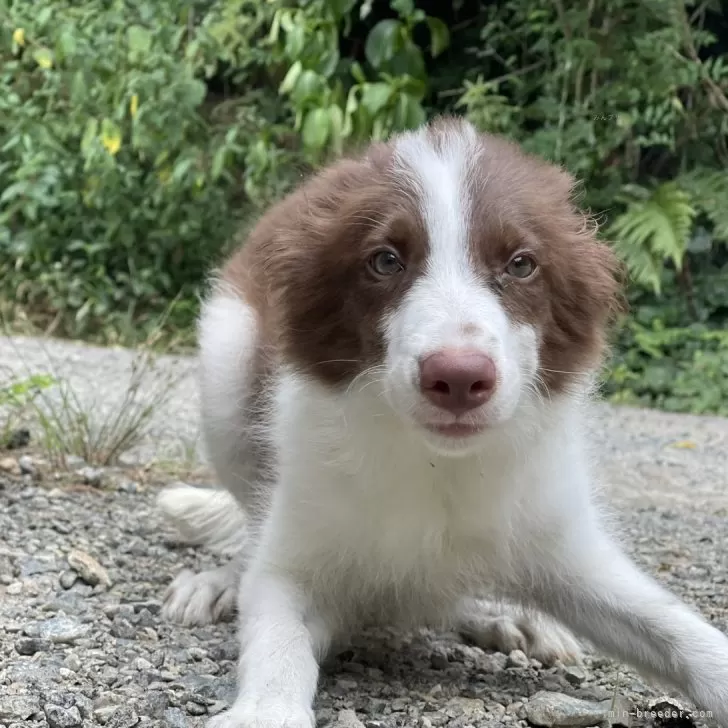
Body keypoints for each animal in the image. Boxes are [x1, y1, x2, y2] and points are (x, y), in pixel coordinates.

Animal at [158, 118, 728, 728]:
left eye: (521, 263)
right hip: (226, 357)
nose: (457, 378)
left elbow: (677, 628)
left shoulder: (565, 541)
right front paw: (264, 711)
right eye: (385, 260)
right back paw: (218, 582)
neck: (437, 463)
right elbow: (277, 639)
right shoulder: (292, 562)